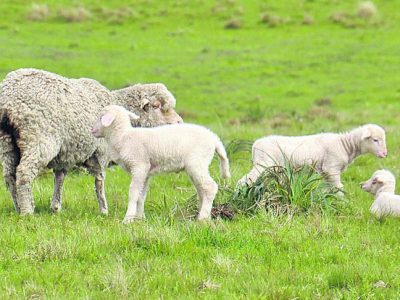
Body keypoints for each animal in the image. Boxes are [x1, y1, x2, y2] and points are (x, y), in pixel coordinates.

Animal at [0, 68, 183, 214]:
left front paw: (56, 208)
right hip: (39, 138)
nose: (179, 123)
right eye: (157, 106)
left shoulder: (66, 154)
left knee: (9, 176)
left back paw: (17, 207)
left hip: (7, 142)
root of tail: (9, 100)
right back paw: (27, 211)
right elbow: (99, 181)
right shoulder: (101, 152)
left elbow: (59, 178)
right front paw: (104, 210)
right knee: (24, 173)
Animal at [90, 105, 228, 223]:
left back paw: (202, 217)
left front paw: (128, 219)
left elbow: (133, 193)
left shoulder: (139, 166)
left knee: (210, 187)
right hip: (196, 166)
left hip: (197, 163)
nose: (91, 130)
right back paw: (204, 216)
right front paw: (139, 219)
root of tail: (214, 139)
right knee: (201, 190)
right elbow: (141, 195)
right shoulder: (145, 172)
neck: (122, 137)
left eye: (101, 117)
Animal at [238, 123, 388, 190]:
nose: (384, 154)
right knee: (244, 180)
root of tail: (255, 144)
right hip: (263, 164)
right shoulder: (331, 168)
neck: (345, 145)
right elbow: (339, 187)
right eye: (375, 140)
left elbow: (330, 189)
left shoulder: (326, 172)